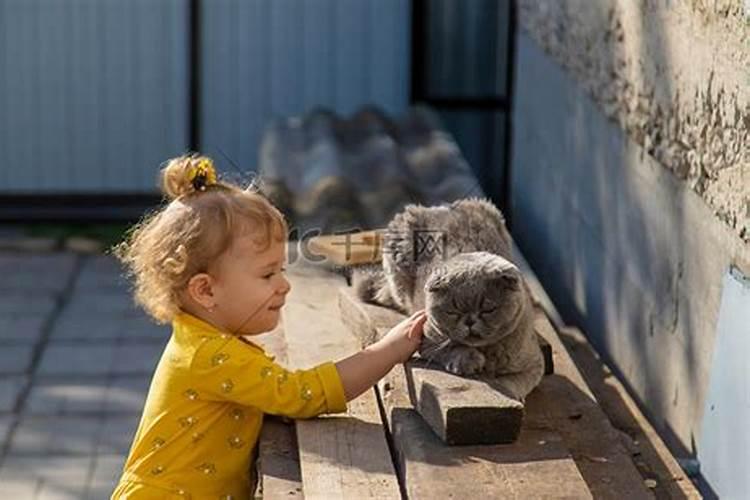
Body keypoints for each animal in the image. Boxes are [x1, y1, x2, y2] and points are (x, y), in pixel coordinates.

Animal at [356, 197, 544, 400]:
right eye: (452, 311)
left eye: (488, 309)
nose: (470, 321)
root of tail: (439, 207)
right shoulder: (426, 339)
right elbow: (449, 348)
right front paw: (468, 361)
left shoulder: (534, 363)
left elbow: (515, 382)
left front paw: (508, 390)